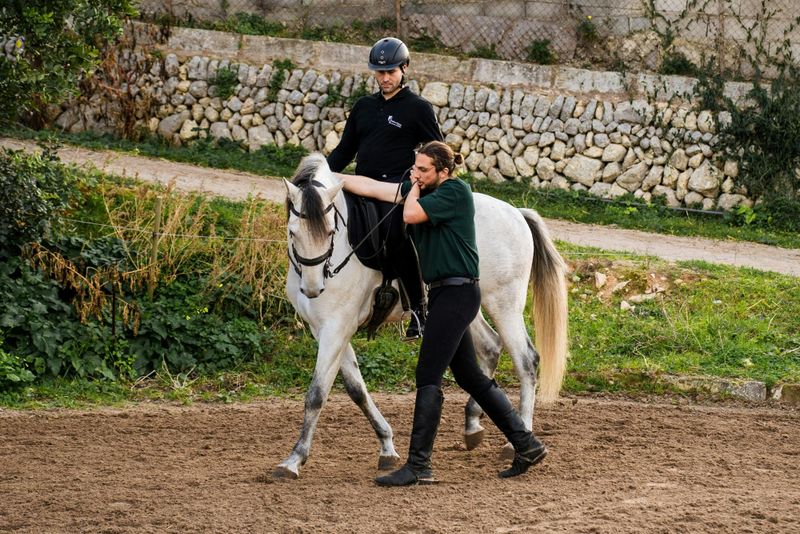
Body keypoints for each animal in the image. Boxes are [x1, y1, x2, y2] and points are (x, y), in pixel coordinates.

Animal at [274, 153, 568, 479]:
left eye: (330, 231)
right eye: (292, 232)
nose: (314, 288)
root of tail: (516, 212)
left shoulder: (336, 327)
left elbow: (317, 394)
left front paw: (294, 459)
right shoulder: (325, 329)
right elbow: (356, 389)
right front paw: (387, 446)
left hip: (503, 304)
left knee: (526, 360)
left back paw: (517, 442)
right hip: (470, 307)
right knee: (490, 347)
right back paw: (473, 425)